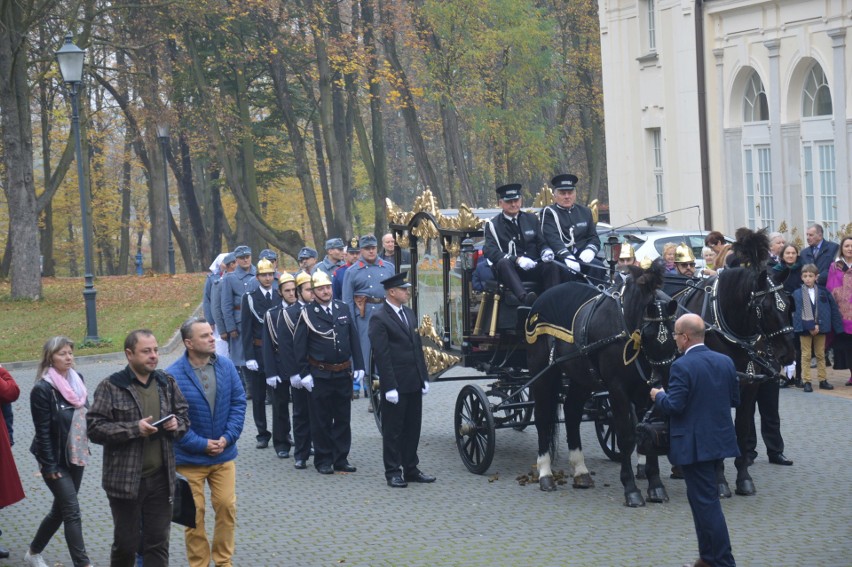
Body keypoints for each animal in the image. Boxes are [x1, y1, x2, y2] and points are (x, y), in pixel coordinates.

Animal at [524, 264, 680, 508]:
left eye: (674, 330)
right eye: (648, 333)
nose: (662, 377)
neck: (626, 330)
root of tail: (540, 298)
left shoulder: (646, 392)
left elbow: (647, 433)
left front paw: (655, 486)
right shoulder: (617, 390)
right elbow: (626, 436)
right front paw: (631, 489)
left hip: (581, 378)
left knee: (572, 412)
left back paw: (580, 471)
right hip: (542, 374)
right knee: (542, 418)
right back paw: (545, 473)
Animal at [676, 262, 796, 496]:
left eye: (787, 305)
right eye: (765, 308)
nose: (789, 354)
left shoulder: (749, 386)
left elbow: (740, 428)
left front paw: (744, 479)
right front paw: (719, 481)